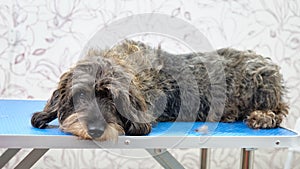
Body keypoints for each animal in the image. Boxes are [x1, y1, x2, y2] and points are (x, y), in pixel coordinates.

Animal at [30, 41, 288, 141]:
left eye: (114, 100)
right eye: (81, 95)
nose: (95, 130)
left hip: (262, 81)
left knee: (279, 111)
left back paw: (262, 117)